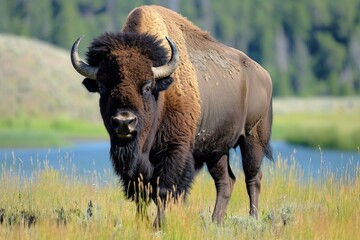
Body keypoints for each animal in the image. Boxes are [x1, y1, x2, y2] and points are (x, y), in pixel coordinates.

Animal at [70, 5, 272, 227]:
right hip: (217, 150)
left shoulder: (174, 150)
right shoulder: (133, 164)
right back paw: (215, 221)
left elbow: (164, 190)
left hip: (253, 139)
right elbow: (140, 193)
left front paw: (159, 224)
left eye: (147, 86)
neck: (161, 94)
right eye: (102, 87)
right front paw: (141, 223)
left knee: (253, 178)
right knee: (226, 181)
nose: (124, 122)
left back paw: (253, 219)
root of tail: (263, 74)